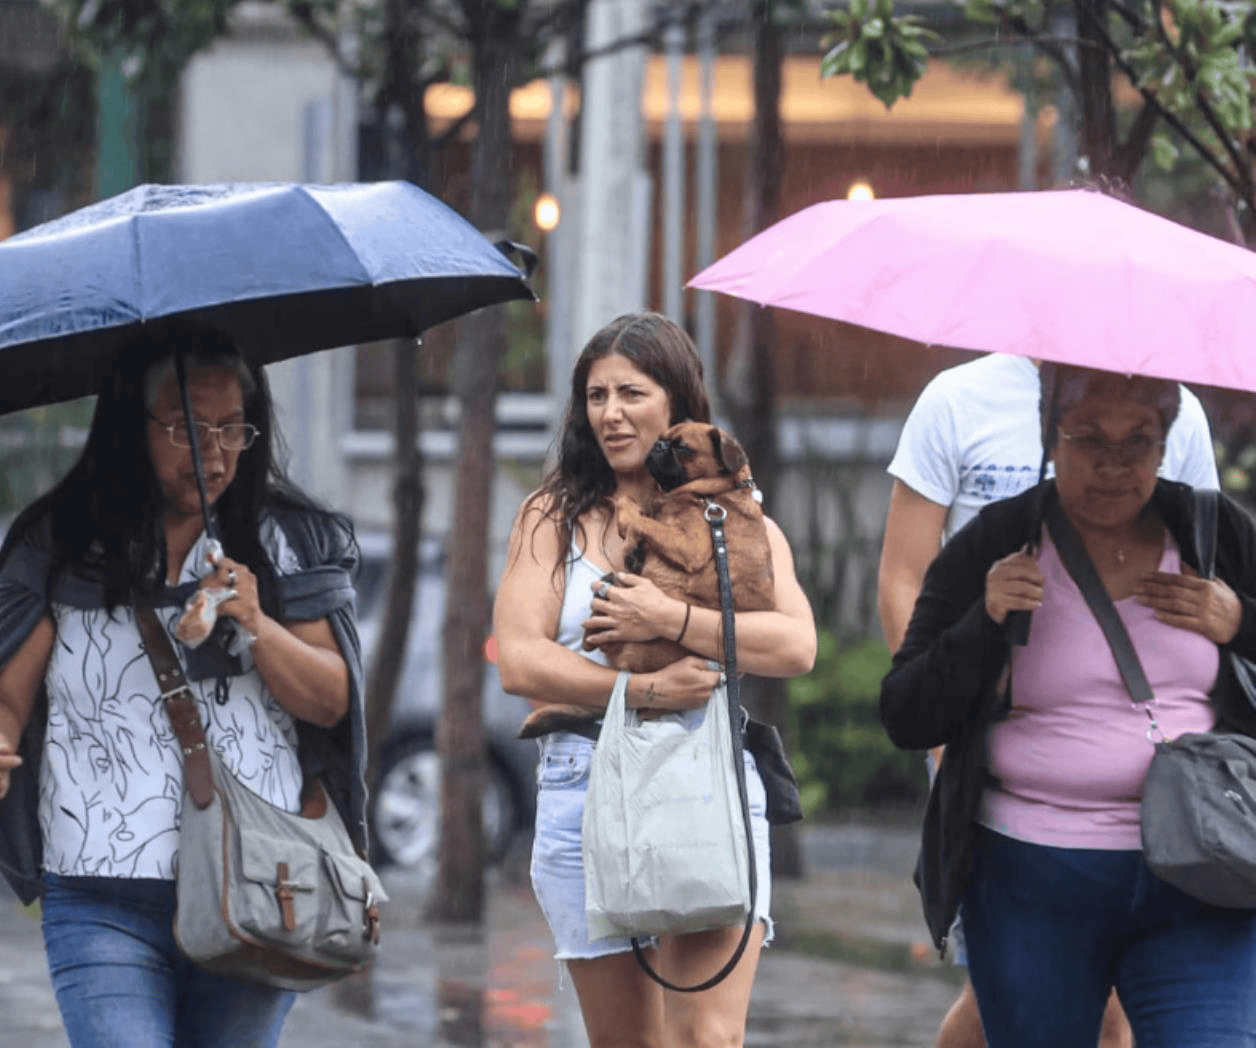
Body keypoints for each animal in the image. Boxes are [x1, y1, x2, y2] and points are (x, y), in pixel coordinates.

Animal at [512, 419, 768, 738]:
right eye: (662, 439)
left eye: (683, 448)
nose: (658, 446)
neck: (712, 495)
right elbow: (642, 513)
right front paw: (634, 544)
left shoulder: (691, 545)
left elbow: (636, 514)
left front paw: (630, 530)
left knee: (599, 641)